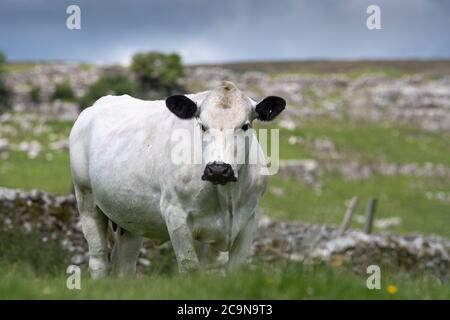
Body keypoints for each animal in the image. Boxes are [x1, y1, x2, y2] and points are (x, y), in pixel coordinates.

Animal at [70, 80, 284, 278]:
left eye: (245, 126)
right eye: (202, 126)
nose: (218, 169)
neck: (227, 197)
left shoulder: (250, 218)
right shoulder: (176, 215)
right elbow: (190, 267)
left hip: (130, 218)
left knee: (124, 265)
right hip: (86, 199)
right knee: (99, 259)